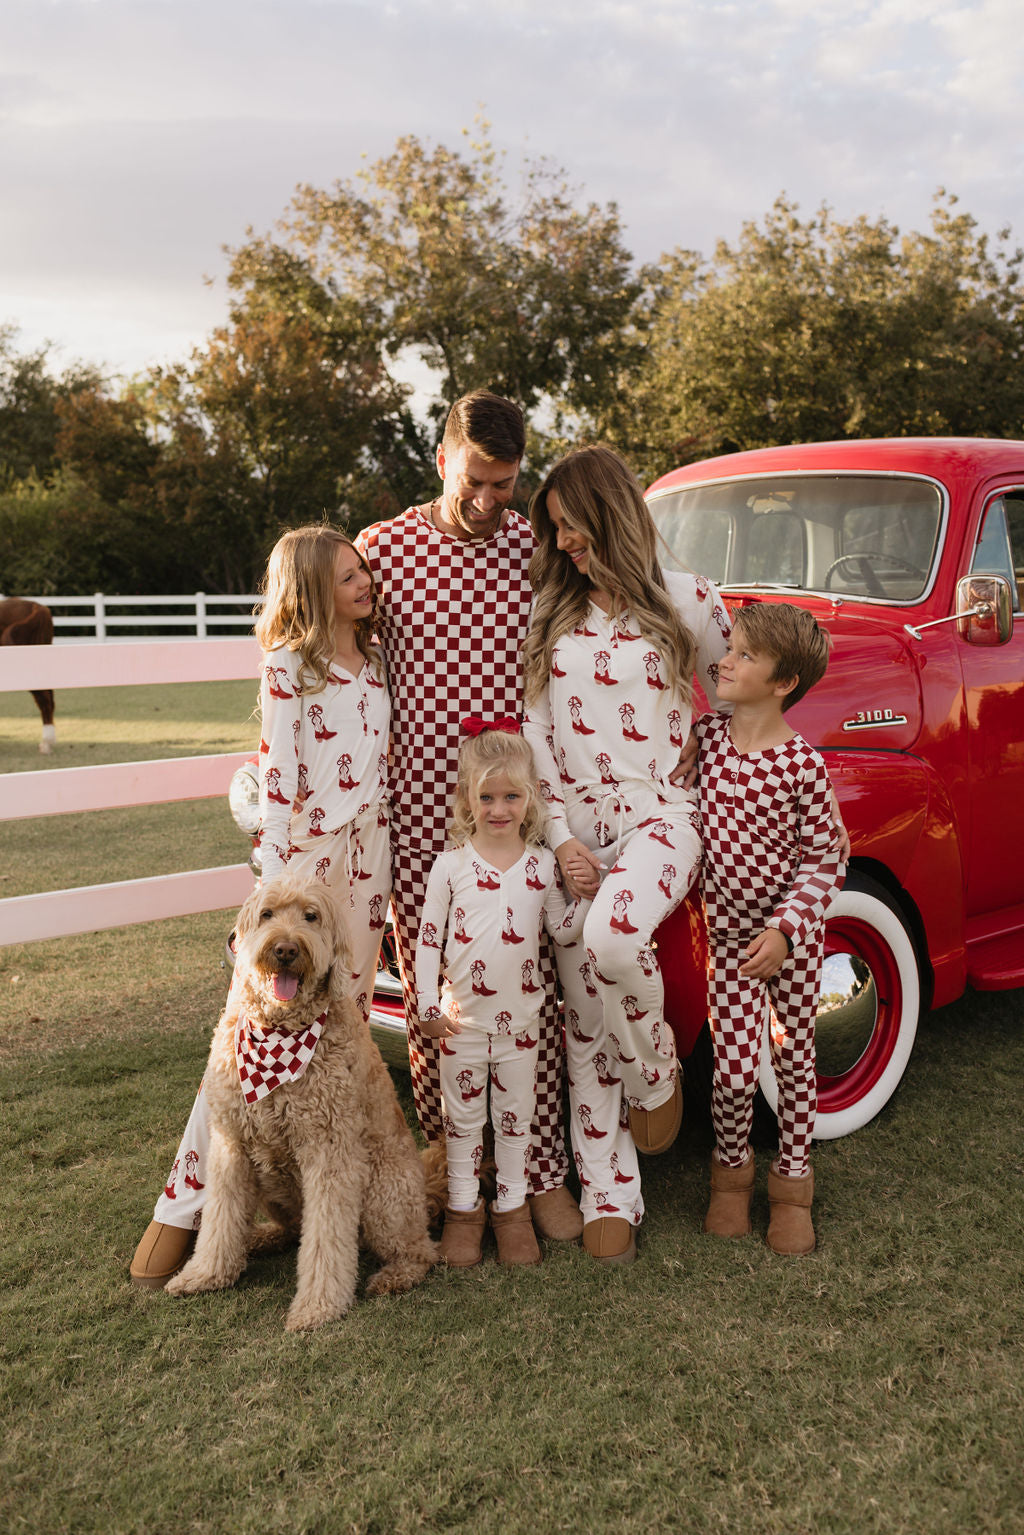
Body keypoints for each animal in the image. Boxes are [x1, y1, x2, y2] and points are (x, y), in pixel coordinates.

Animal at [167, 884, 436, 1326]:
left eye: (311, 916)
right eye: (267, 914)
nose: (286, 949)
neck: (279, 1031)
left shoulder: (330, 1153)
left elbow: (325, 1238)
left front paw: (317, 1306)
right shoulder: (231, 1146)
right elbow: (220, 1220)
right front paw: (205, 1274)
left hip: (384, 1194)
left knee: (419, 1250)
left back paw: (394, 1275)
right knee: (292, 1229)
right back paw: (261, 1236)